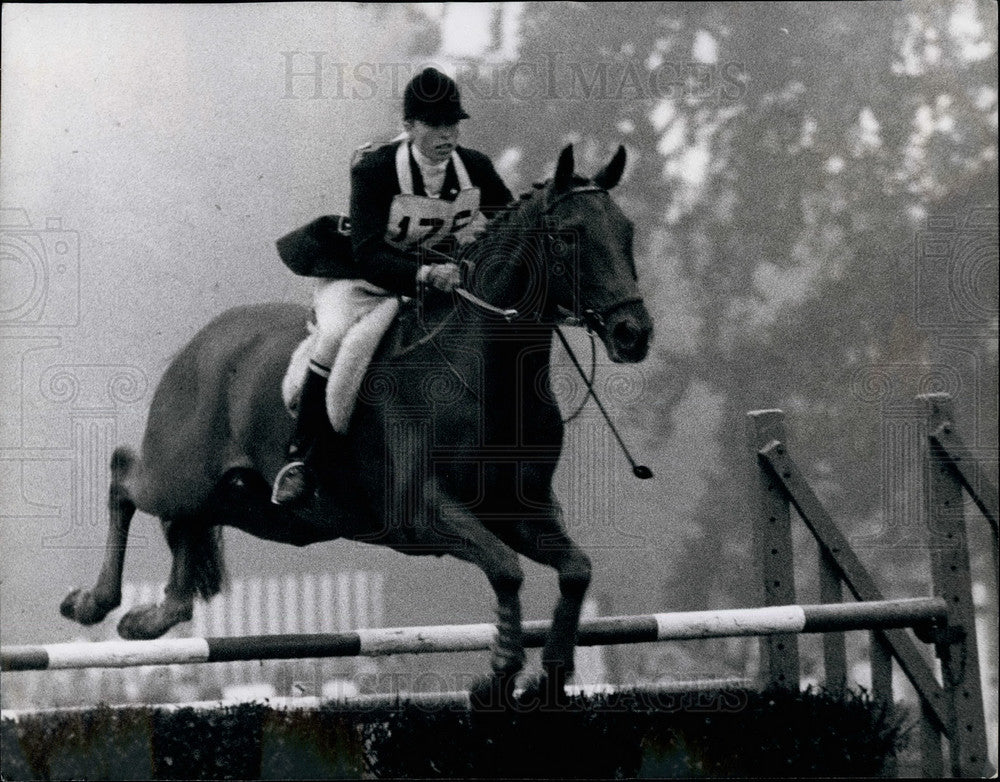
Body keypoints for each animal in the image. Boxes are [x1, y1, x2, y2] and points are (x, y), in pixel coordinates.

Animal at [62, 147, 656, 704]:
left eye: (626, 231)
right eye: (566, 238)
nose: (633, 334)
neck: (489, 374)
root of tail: (201, 343)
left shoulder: (520, 510)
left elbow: (575, 571)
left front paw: (547, 680)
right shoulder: (419, 514)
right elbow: (506, 569)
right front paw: (496, 678)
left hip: (257, 506)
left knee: (190, 524)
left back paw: (153, 616)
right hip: (182, 473)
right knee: (125, 475)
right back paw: (92, 603)